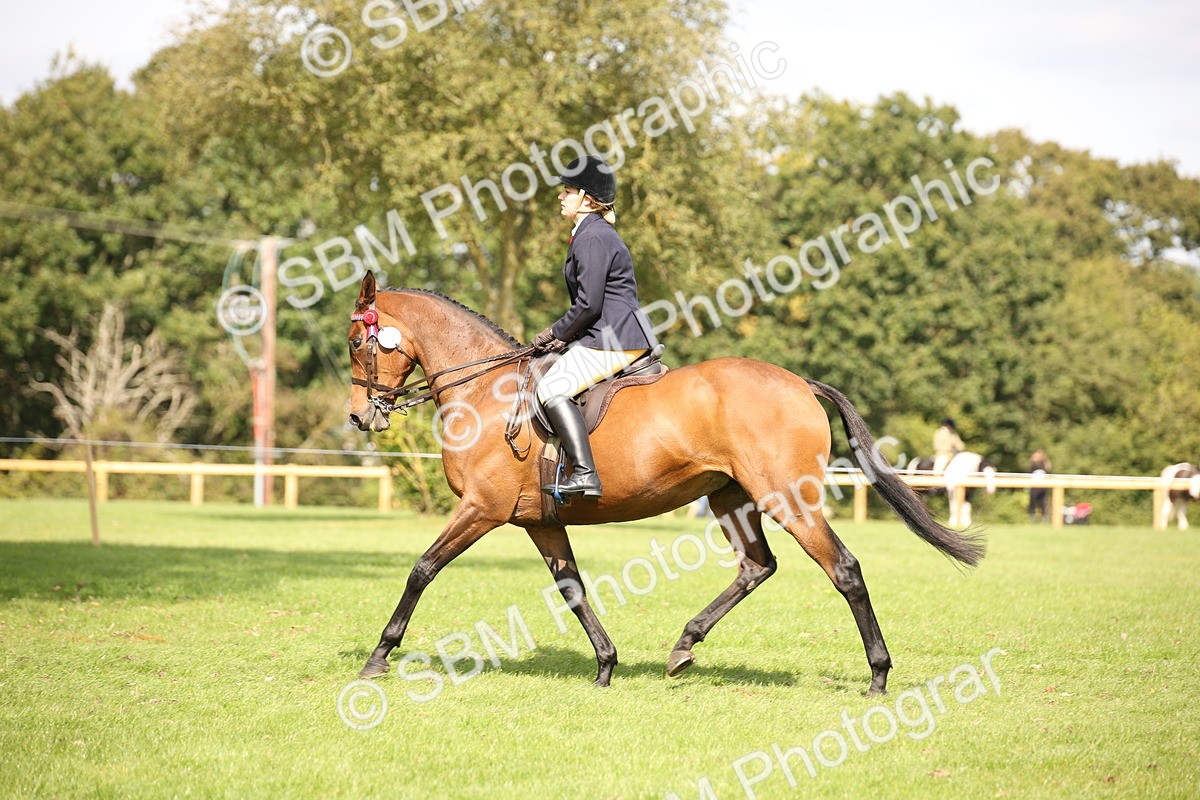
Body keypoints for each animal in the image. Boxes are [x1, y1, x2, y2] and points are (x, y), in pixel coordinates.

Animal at [346, 273, 985, 695]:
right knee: (757, 566)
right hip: (730, 497)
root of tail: (800, 383)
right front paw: (606, 664)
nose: (359, 417)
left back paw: (878, 675)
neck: (487, 392)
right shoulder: (538, 520)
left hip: (786, 497)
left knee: (844, 570)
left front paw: (379, 657)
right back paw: (683, 647)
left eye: (356, 343)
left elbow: (421, 569)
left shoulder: (482, 509)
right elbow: (572, 588)